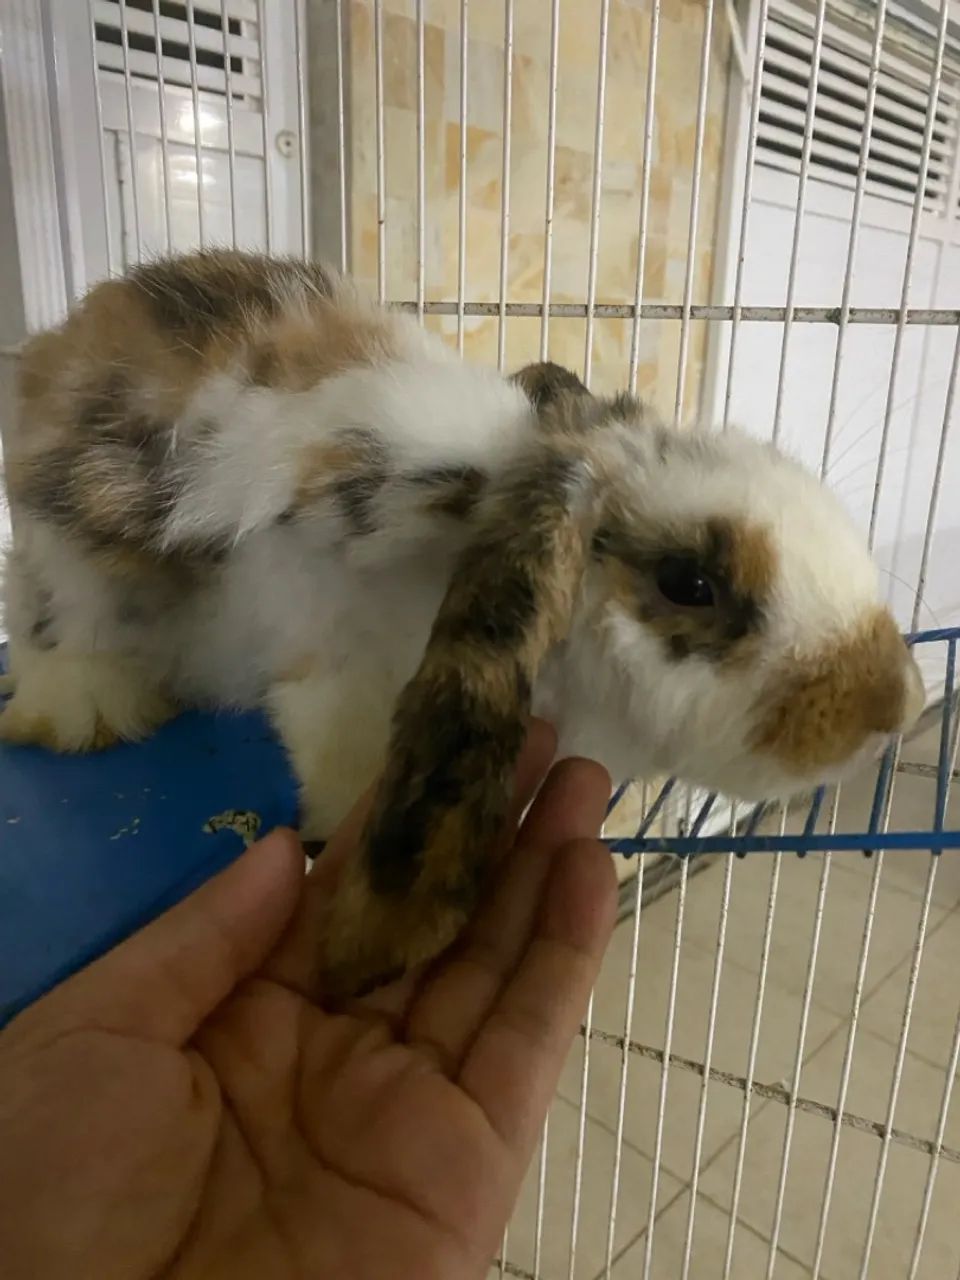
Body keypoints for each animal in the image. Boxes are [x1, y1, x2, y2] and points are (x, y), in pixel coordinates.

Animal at [1, 249, 925, 996]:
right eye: (690, 582)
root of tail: (50, 351)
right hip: (67, 572)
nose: (894, 706)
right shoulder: (336, 682)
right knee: (52, 629)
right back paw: (88, 714)